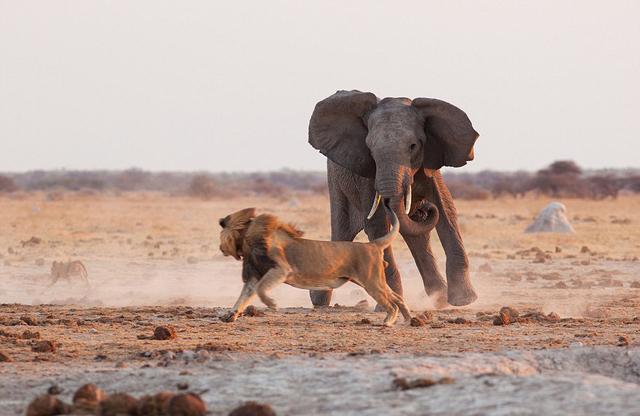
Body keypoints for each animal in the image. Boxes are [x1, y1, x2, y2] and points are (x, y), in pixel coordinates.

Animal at [218, 201, 412, 324]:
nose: (220, 248)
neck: (246, 236)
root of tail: (372, 244)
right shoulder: (255, 274)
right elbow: (245, 295)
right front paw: (230, 315)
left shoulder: (281, 269)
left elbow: (259, 289)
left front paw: (273, 304)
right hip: (374, 280)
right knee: (397, 296)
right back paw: (409, 319)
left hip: (371, 281)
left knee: (390, 301)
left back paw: (388, 321)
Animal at [308, 90, 478, 308]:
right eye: (370, 149)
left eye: (413, 146)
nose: (424, 209)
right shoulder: (367, 174)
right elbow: (377, 224)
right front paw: (390, 305)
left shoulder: (431, 163)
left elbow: (446, 209)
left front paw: (463, 301)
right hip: (336, 182)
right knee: (341, 231)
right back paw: (318, 300)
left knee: (417, 236)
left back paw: (438, 299)